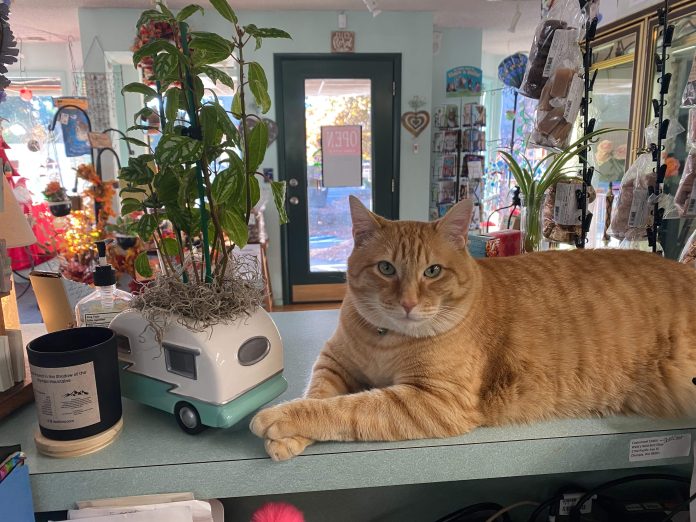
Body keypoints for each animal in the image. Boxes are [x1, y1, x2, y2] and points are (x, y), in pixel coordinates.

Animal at [250, 195, 696, 460]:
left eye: (432, 271)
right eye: (386, 268)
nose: (408, 303)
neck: (386, 341)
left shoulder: (432, 399)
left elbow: (345, 408)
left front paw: (278, 420)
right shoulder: (333, 363)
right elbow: (319, 393)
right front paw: (288, 437)